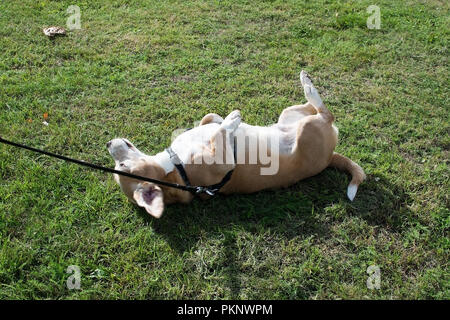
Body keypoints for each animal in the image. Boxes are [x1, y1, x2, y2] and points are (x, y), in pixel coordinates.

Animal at [108, 71, 366, 219]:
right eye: (121, 166)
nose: (108, 143)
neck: (173, 167)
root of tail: (331, 156)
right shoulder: (222, 163)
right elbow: (221, 133)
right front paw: (232, 120)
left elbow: (210, 120)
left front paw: (222, 120)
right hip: (309, 129)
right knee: (325, 112)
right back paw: (308, 85)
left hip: (289, 115)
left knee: (311, 107)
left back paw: (306, 80)